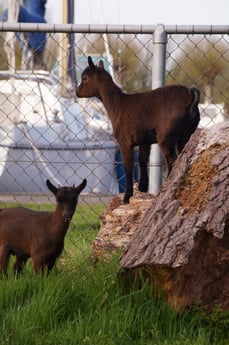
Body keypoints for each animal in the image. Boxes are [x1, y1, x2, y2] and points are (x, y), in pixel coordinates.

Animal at [76, 55, 199, 202]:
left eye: (84, 78)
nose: (77, 91)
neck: (117, 104)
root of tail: (190, 96)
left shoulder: (125, 142)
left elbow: (128, 166)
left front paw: (127, 197)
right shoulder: (145, 141)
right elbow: (142, 161)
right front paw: (142, 189)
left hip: (167, 136)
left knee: (173, 160)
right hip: (187, 134)